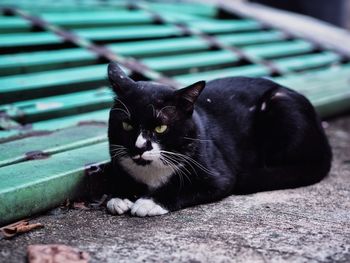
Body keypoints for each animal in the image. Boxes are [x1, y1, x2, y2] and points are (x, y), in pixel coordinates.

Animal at [106, 63, 330, 218]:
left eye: (160, 127)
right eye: (126, 125)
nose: (139, 147)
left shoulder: (219, 177)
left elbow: (184, 188)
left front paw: (148, 202)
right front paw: (118, 196)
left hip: (282, 103)